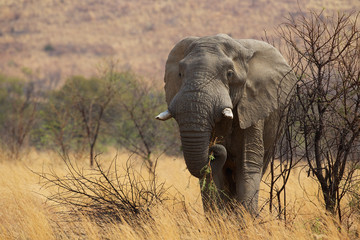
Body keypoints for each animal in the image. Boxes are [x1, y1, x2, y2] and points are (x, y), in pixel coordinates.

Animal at [155, 33, 296, 214]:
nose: (214, 148)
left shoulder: (252, 107)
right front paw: (219, 217)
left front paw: (247, 218)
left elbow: (247, 164)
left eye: (229, 74)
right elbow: (212, 174)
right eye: (180, 74)